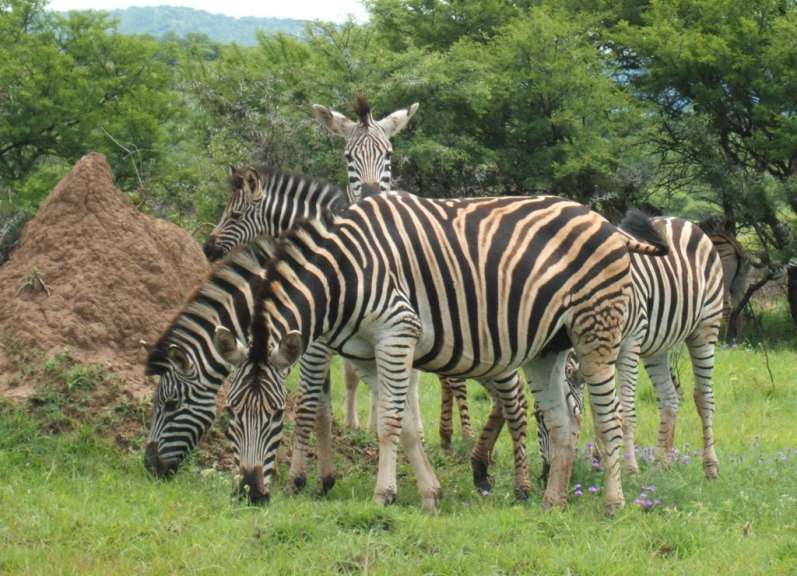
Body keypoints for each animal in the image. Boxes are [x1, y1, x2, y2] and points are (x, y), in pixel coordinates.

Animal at [214, 192, 668, 513]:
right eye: (231, 412)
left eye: (277, 414)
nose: (251, 493)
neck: (344, 274)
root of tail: (604, 222)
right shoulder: (365, 353)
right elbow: (406, 423)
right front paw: (430, 494)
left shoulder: (397, 331)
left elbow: (389, 421)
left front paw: (383, 495)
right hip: (548, 348)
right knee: (562, 423)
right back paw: (551, 501)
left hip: (596, 331)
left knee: (609, 418)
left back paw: (613, 502)